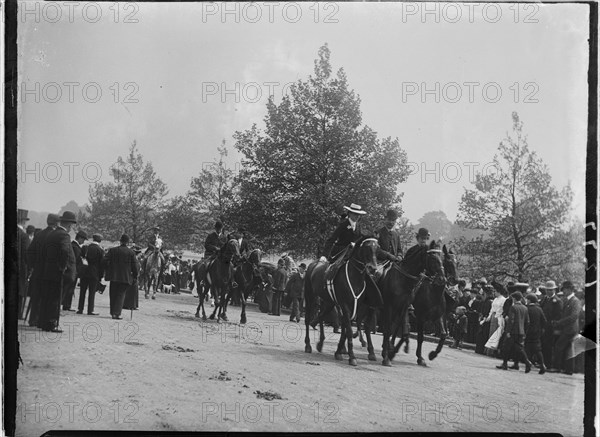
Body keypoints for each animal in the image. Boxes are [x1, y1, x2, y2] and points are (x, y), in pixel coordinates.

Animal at [302, 235, 382, 364]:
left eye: (378, 248)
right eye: (366, 247)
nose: (372, 268)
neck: (355, 277)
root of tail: (313, 264)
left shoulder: (355, 307)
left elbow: (347, 327)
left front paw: (340, 351)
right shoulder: (345, 305)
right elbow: (348, 329)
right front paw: (352, 356)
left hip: (328, 302)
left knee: (321, 316)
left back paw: (320, 342)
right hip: (310, 296)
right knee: (308, 318)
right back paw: (308, 345)